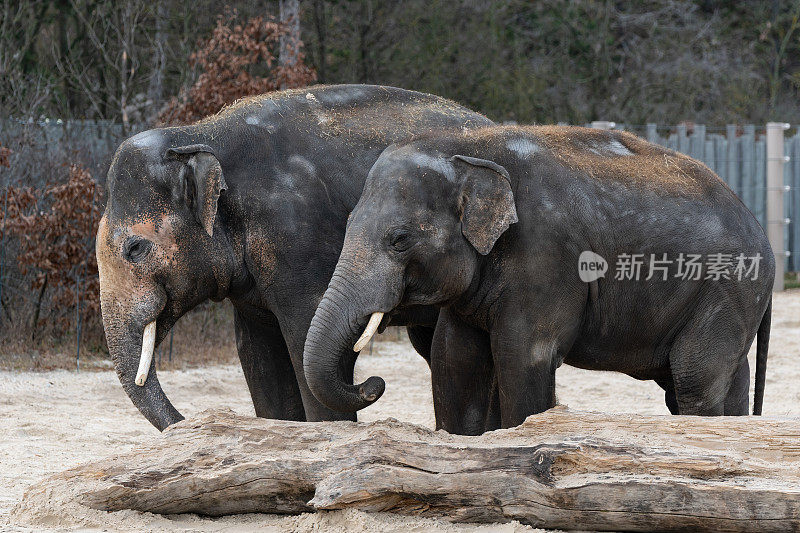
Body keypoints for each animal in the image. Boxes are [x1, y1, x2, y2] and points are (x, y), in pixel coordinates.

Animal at [96, 85, 490, 430]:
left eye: (135, 249)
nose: (188, 422)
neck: (201, 134)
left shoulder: (298, 237)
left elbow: (304, 339)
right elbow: (257, 354)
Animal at [304, 124, 772, 432]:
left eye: (399, 240)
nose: (373, 383)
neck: (468, 149)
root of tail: (759, 224)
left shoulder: (546, 256)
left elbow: (521, 356)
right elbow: (455, 356)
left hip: (728, 289)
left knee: (695, 379)